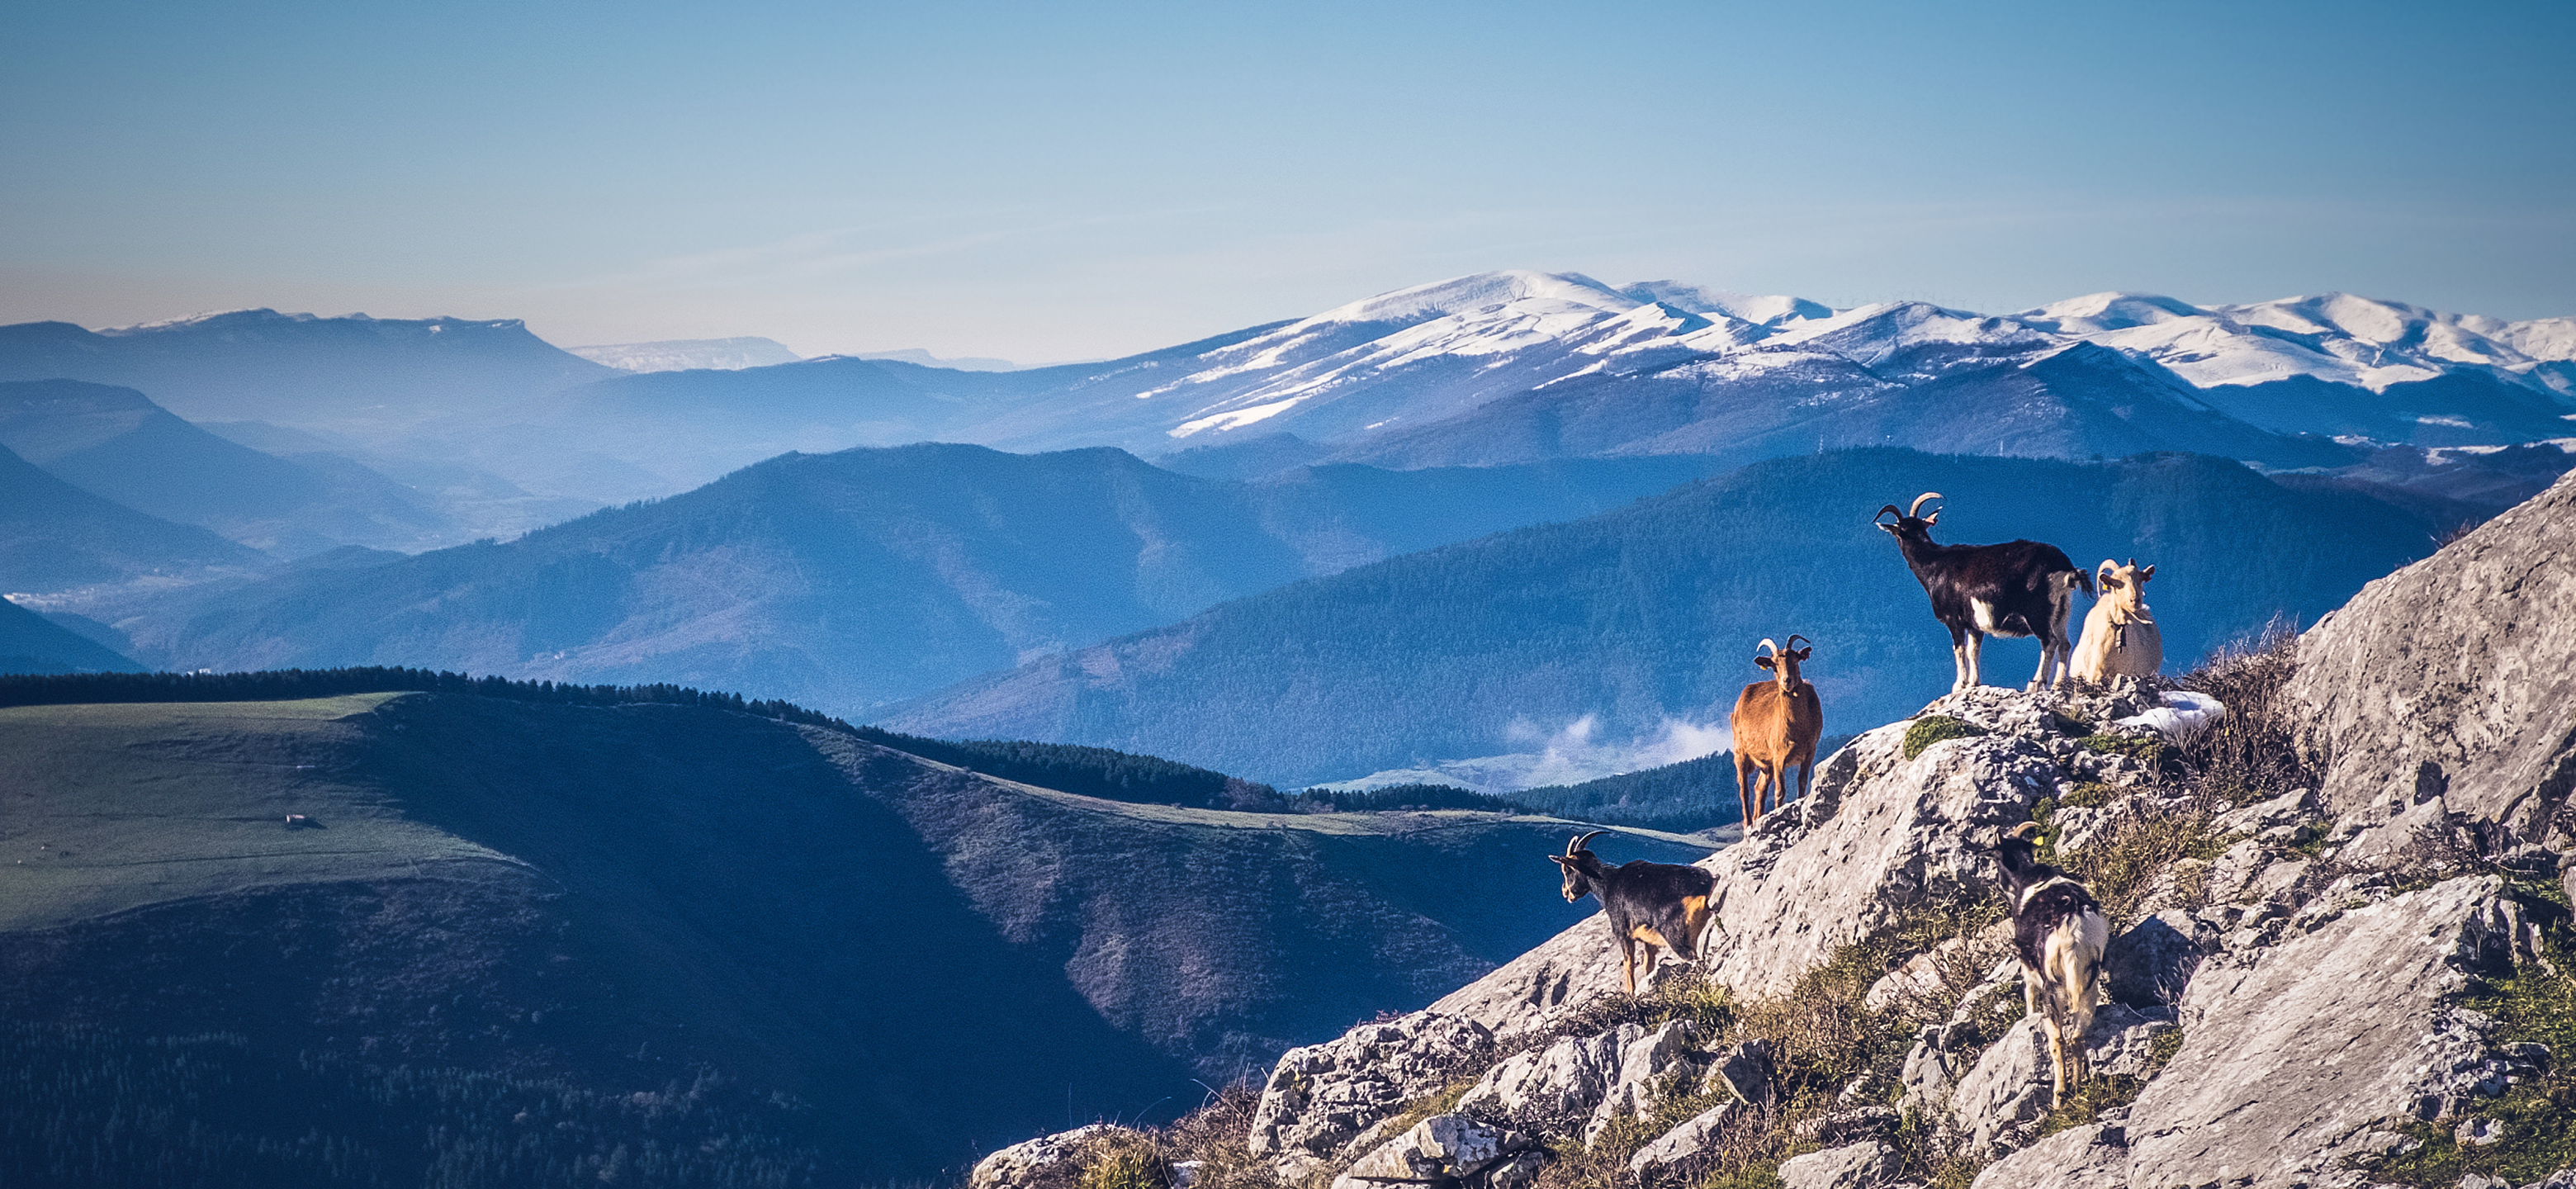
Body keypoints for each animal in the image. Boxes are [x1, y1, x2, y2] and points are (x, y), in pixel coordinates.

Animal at [1549, 830, 1717, 997]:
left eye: (1566, 870)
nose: (1566, 893)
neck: (1608, 882)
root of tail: (1706, 888)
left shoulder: (1623, 932)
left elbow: (1628, 963)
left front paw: (1630, 993)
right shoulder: (1647, 937)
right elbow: (1648, 964)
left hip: (1675, 935)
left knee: (1691, 957)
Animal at [1729, 635, 1823, 823]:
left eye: (1796, 660)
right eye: (1774, 665)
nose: (1787, 681)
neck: (1798, 728)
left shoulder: (1810, 751)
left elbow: (1802, 783)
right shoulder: (1778, 754)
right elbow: (1780, 791)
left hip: (1766, 764)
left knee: (1759, 788)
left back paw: (1759, 817)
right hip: (1740, 751)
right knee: (1744, 791)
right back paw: (1749, 824)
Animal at [1874, 492, 2094, 692]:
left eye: (1900, 530)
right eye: (1908, 528)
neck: (1934, 564)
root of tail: (2067, 568)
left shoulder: (1954, 619)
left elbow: (1959, 650)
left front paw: (1959, 685)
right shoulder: (1974, 625)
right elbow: (1973, 651)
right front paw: (1974, 683)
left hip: (2037, 611)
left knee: (2050, 642)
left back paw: (2036, 683)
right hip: (2061, 611)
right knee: (2065, 644)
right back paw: (2057, 685)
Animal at [1995, 821, 2107, 1100]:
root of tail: (2073, 932)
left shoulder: (2029, 968)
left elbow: (2029, 996)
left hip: (2053, 985)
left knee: (2057, 1039)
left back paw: (2059, 1095)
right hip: (2089, 982)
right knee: (2078, 1033)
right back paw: (2078, 1085)